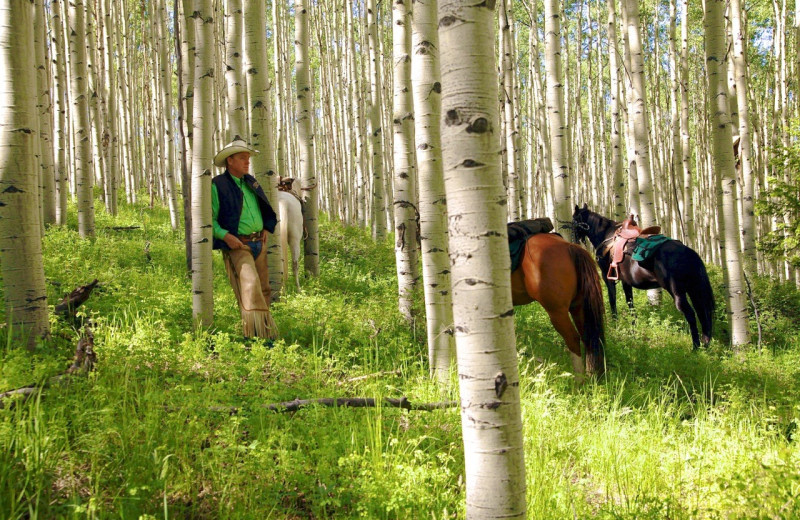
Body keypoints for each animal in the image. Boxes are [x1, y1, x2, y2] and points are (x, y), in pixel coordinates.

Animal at [512, 233, 608, 378]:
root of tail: (570, 247)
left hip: (557, 312)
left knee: (572, 339)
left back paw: (579, 381)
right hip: (578, 308)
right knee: (588, 337)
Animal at [572, 204, 716, 350]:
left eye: (574, 220)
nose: (574, 239)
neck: (605, 235)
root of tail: (689, 253)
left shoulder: (607, 278)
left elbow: (613, 301)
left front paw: (615, 323)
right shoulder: (626, 281)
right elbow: (630, 304)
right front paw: (633, 328)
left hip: (677, 292)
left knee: (691, 314)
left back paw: (695, 347)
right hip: (694, 290)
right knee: (703, 313)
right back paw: (705, 344)